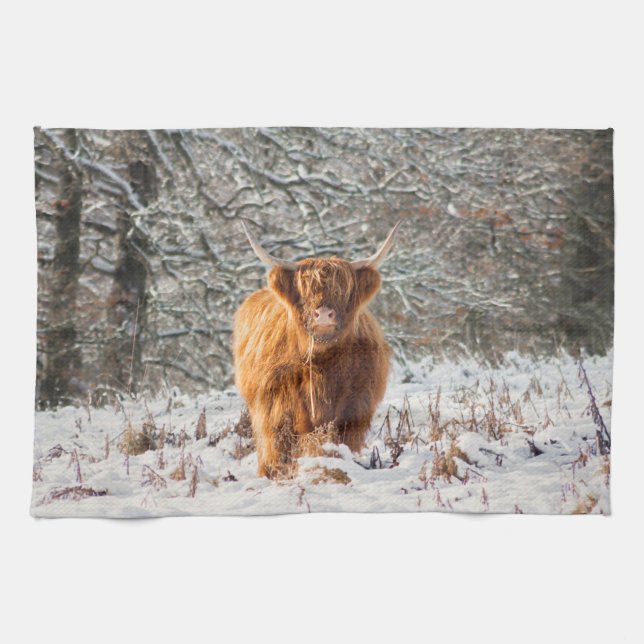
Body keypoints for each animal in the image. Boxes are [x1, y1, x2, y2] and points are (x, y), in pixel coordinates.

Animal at [233, 218, 401, 478]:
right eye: (306, 291)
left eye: (342, 290)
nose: (323, 314)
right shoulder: (277, 405)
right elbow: (279, 443)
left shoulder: (354, 406)